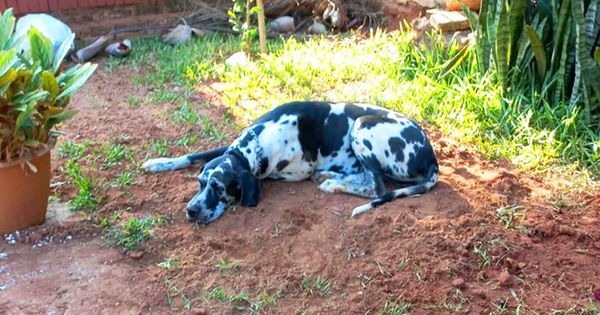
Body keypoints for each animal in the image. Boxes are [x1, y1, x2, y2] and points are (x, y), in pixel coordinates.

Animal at [143, 101, 438, 225]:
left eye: (219, 188)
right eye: (200, 183)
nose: (191, 210)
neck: (257, 143)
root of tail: (432, 156)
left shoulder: (297, 170)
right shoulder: (227, 148)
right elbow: (194, 154)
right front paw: (160, 162)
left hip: (362, 124)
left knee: (375, 187)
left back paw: (332, 182)